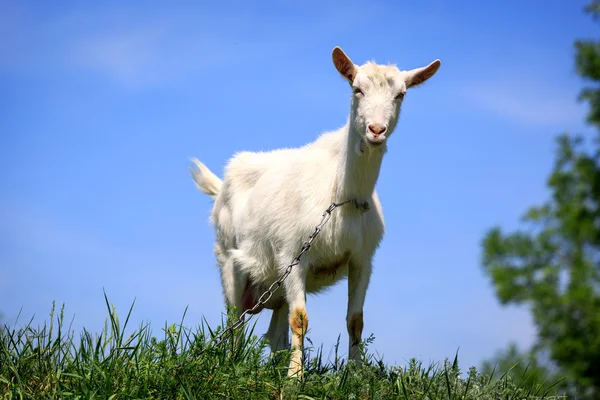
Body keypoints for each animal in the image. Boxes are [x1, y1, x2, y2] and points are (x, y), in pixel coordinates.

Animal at [192, 47, 440, 376]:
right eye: (357, 89)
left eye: (400, 94)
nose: (376, 130)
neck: (342, 197)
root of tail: (221, 185)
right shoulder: (293, 254)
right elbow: (300, 319)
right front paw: (295, 377)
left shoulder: (362, 259)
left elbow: (355, 320)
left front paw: (356, 373)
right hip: (230, 262)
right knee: (235, 321)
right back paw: (233, 365)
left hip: (277, 284)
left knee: (275, 332)